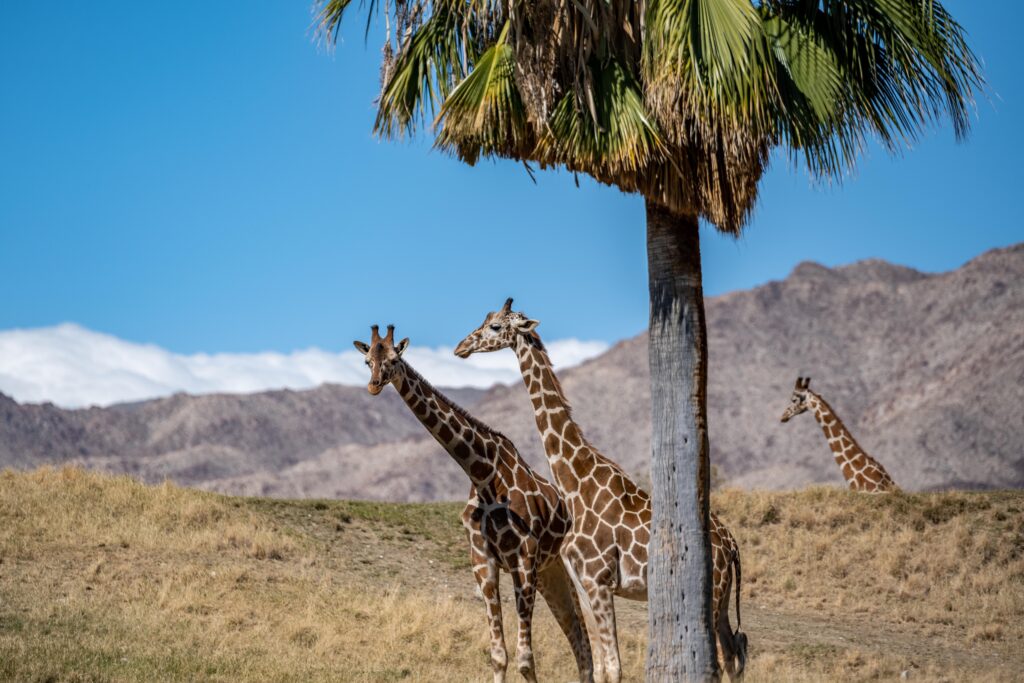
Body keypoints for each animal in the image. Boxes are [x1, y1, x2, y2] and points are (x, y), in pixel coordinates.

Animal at [456, 301, 745, 683]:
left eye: (495, 326)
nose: (461, 347)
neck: (576, 482)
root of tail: (733, 545)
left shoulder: (598, 580)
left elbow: (612, 667)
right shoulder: (585, 582)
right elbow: (601, 663)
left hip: (708, 595)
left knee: (722, 658)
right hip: (722, 599)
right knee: (735, 651)